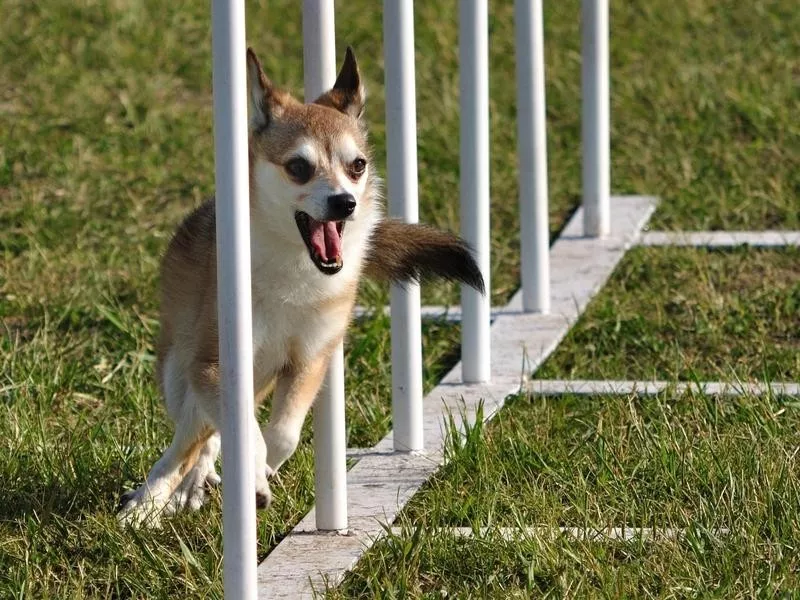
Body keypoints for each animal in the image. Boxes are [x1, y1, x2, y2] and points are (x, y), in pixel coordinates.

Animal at [117, 47, 482, 524]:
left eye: (357, 166)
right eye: (298, 167)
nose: (345, 202)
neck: (294, 273)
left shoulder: (309, 360)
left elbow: (282, 435)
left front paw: (260, 473)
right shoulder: (213, 365)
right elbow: (243, 434)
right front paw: (248, 478)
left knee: (209, 436)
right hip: (180, 371)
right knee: (187, 439)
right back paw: (149, 501)